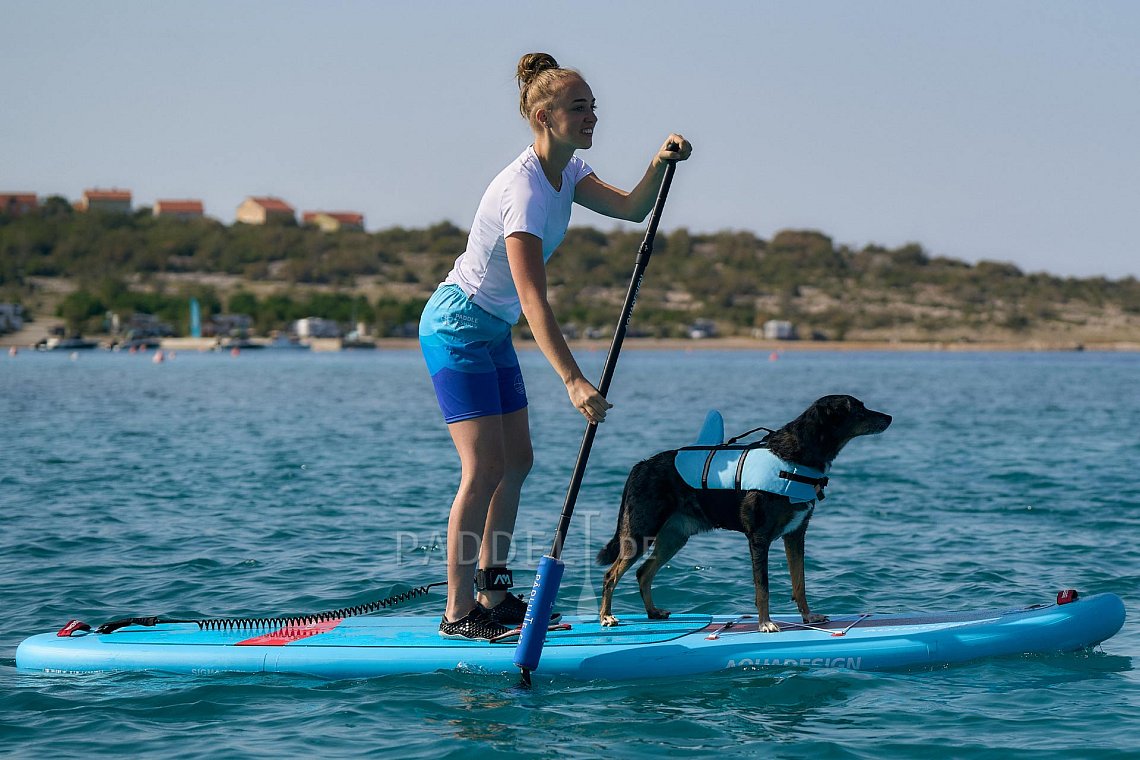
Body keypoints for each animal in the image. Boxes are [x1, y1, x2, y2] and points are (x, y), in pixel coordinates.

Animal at [597, 396, 889, 633]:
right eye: (858, 409)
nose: (889, 417)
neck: (796, 456)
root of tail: (640, 466)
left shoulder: (796, 534)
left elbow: (800, 582)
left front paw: (807, 616)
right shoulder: (759, 537)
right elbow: (763, 588)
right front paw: (765, 623)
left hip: (673, 537)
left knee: (643, 572)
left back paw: (652, 611)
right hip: (640, 532)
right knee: (611, 575)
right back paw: (606, 617)